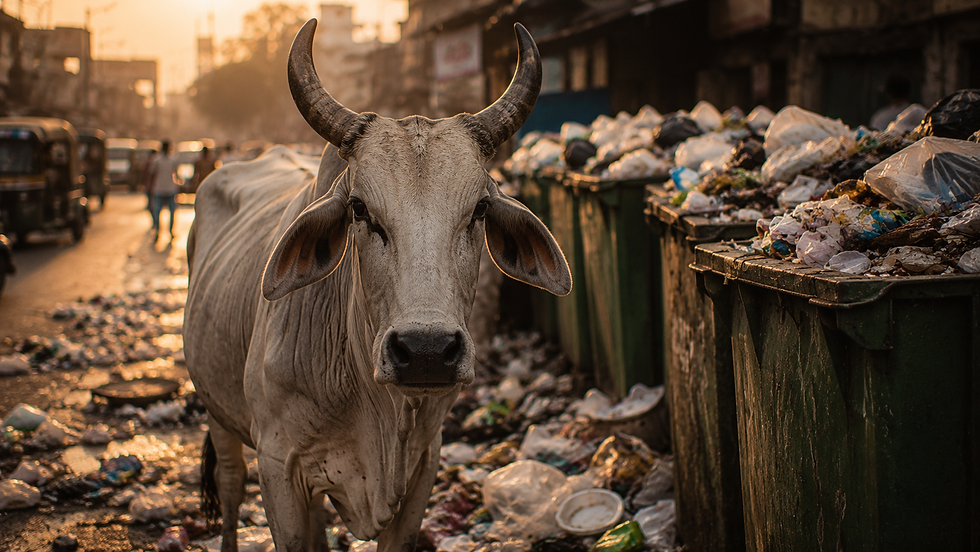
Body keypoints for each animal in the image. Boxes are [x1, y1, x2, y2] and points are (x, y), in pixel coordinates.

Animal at [183, 17, 571, 552]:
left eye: (479, 209)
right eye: (359, 209)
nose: (427, 351)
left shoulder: (425, 463)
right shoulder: (278, 466)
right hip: (216, 411)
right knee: (228, 484)